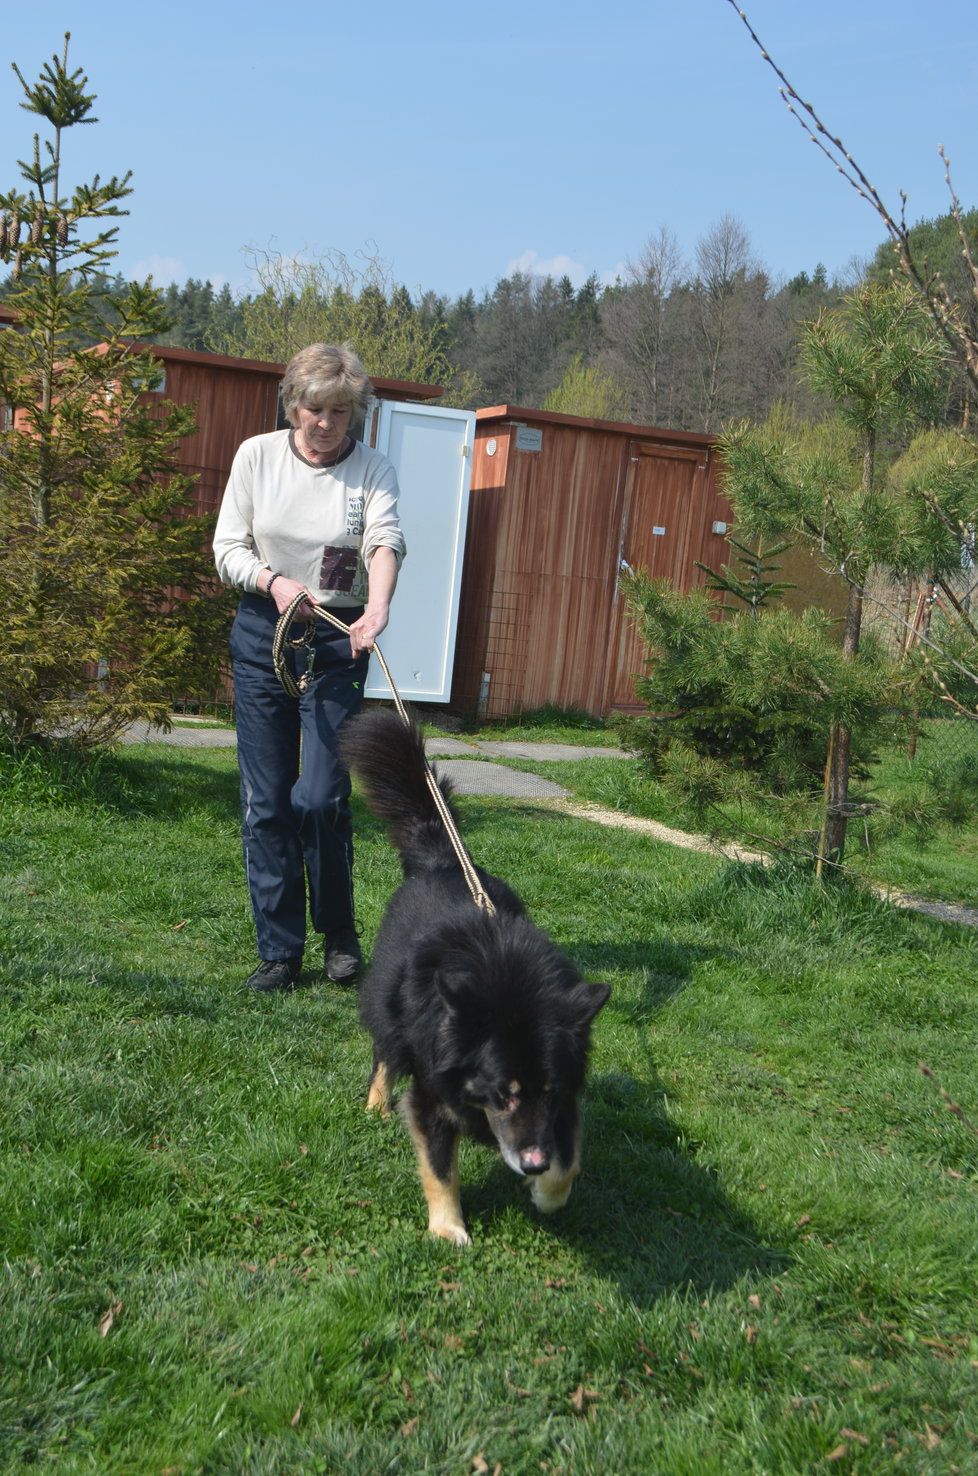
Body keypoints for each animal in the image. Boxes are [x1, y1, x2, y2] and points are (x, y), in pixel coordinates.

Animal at [340, 708, 607, 1239]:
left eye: (548, 1092)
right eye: (503, 1095)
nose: (533, 1164)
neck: (508, 985)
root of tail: (441, 859)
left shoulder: (567, 1097)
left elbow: (569, 1160)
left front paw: (548, 1195)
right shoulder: (431, 1092)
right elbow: (440, 1166)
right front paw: (448, 1230)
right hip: (388, 1005)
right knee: (384, 1051)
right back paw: (375, 1104)